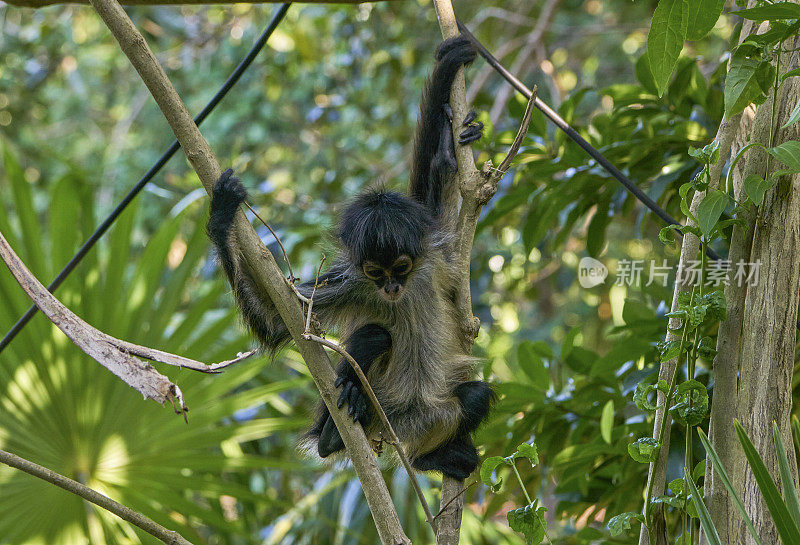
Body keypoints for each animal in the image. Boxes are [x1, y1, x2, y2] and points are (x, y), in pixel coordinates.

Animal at [206, 35, 494, 480]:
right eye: (375, 272)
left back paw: (428, 457)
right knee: (375, 335)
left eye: (402, 268)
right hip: (383, 412)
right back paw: (334, 433)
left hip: (426, 417)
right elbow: (276, 326)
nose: (390, 288)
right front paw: (221, 217)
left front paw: (448, 151)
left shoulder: (437, 258)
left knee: (475, 395)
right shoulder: (352, 282)